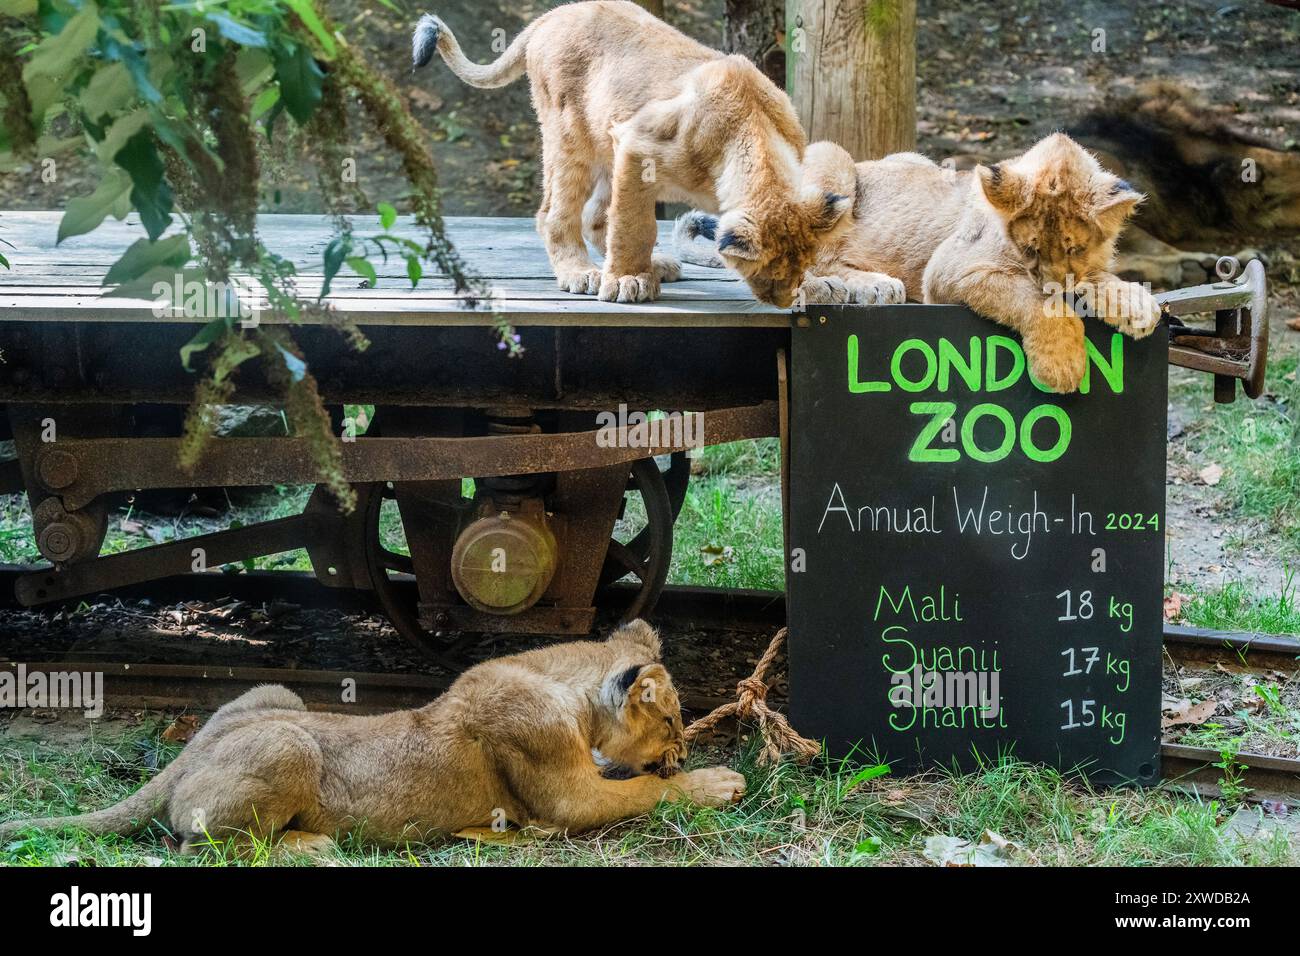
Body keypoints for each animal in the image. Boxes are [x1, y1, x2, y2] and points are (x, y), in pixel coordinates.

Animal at [0, 624, 748, 858]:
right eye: (672, 721)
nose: (686, 748)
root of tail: (189, 752)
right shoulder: (566, 798)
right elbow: (644, 789)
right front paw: (716, 782)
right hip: (288, 746)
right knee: (199, 844)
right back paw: (311, 846)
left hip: (274, 697)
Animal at [408, 0, 852, 306]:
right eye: (770, 271)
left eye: (798, 265)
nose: (782, 301)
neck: (753, 137)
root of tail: (551, 15)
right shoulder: (639, 145)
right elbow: (634, 225)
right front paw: (626, 280)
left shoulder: (627, 150)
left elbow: (621, 221)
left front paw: (818, 284)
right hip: (570, 136)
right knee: (556, 213)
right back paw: (584, 272)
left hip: (606, 143)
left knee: (595, 216)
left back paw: (651, 265)